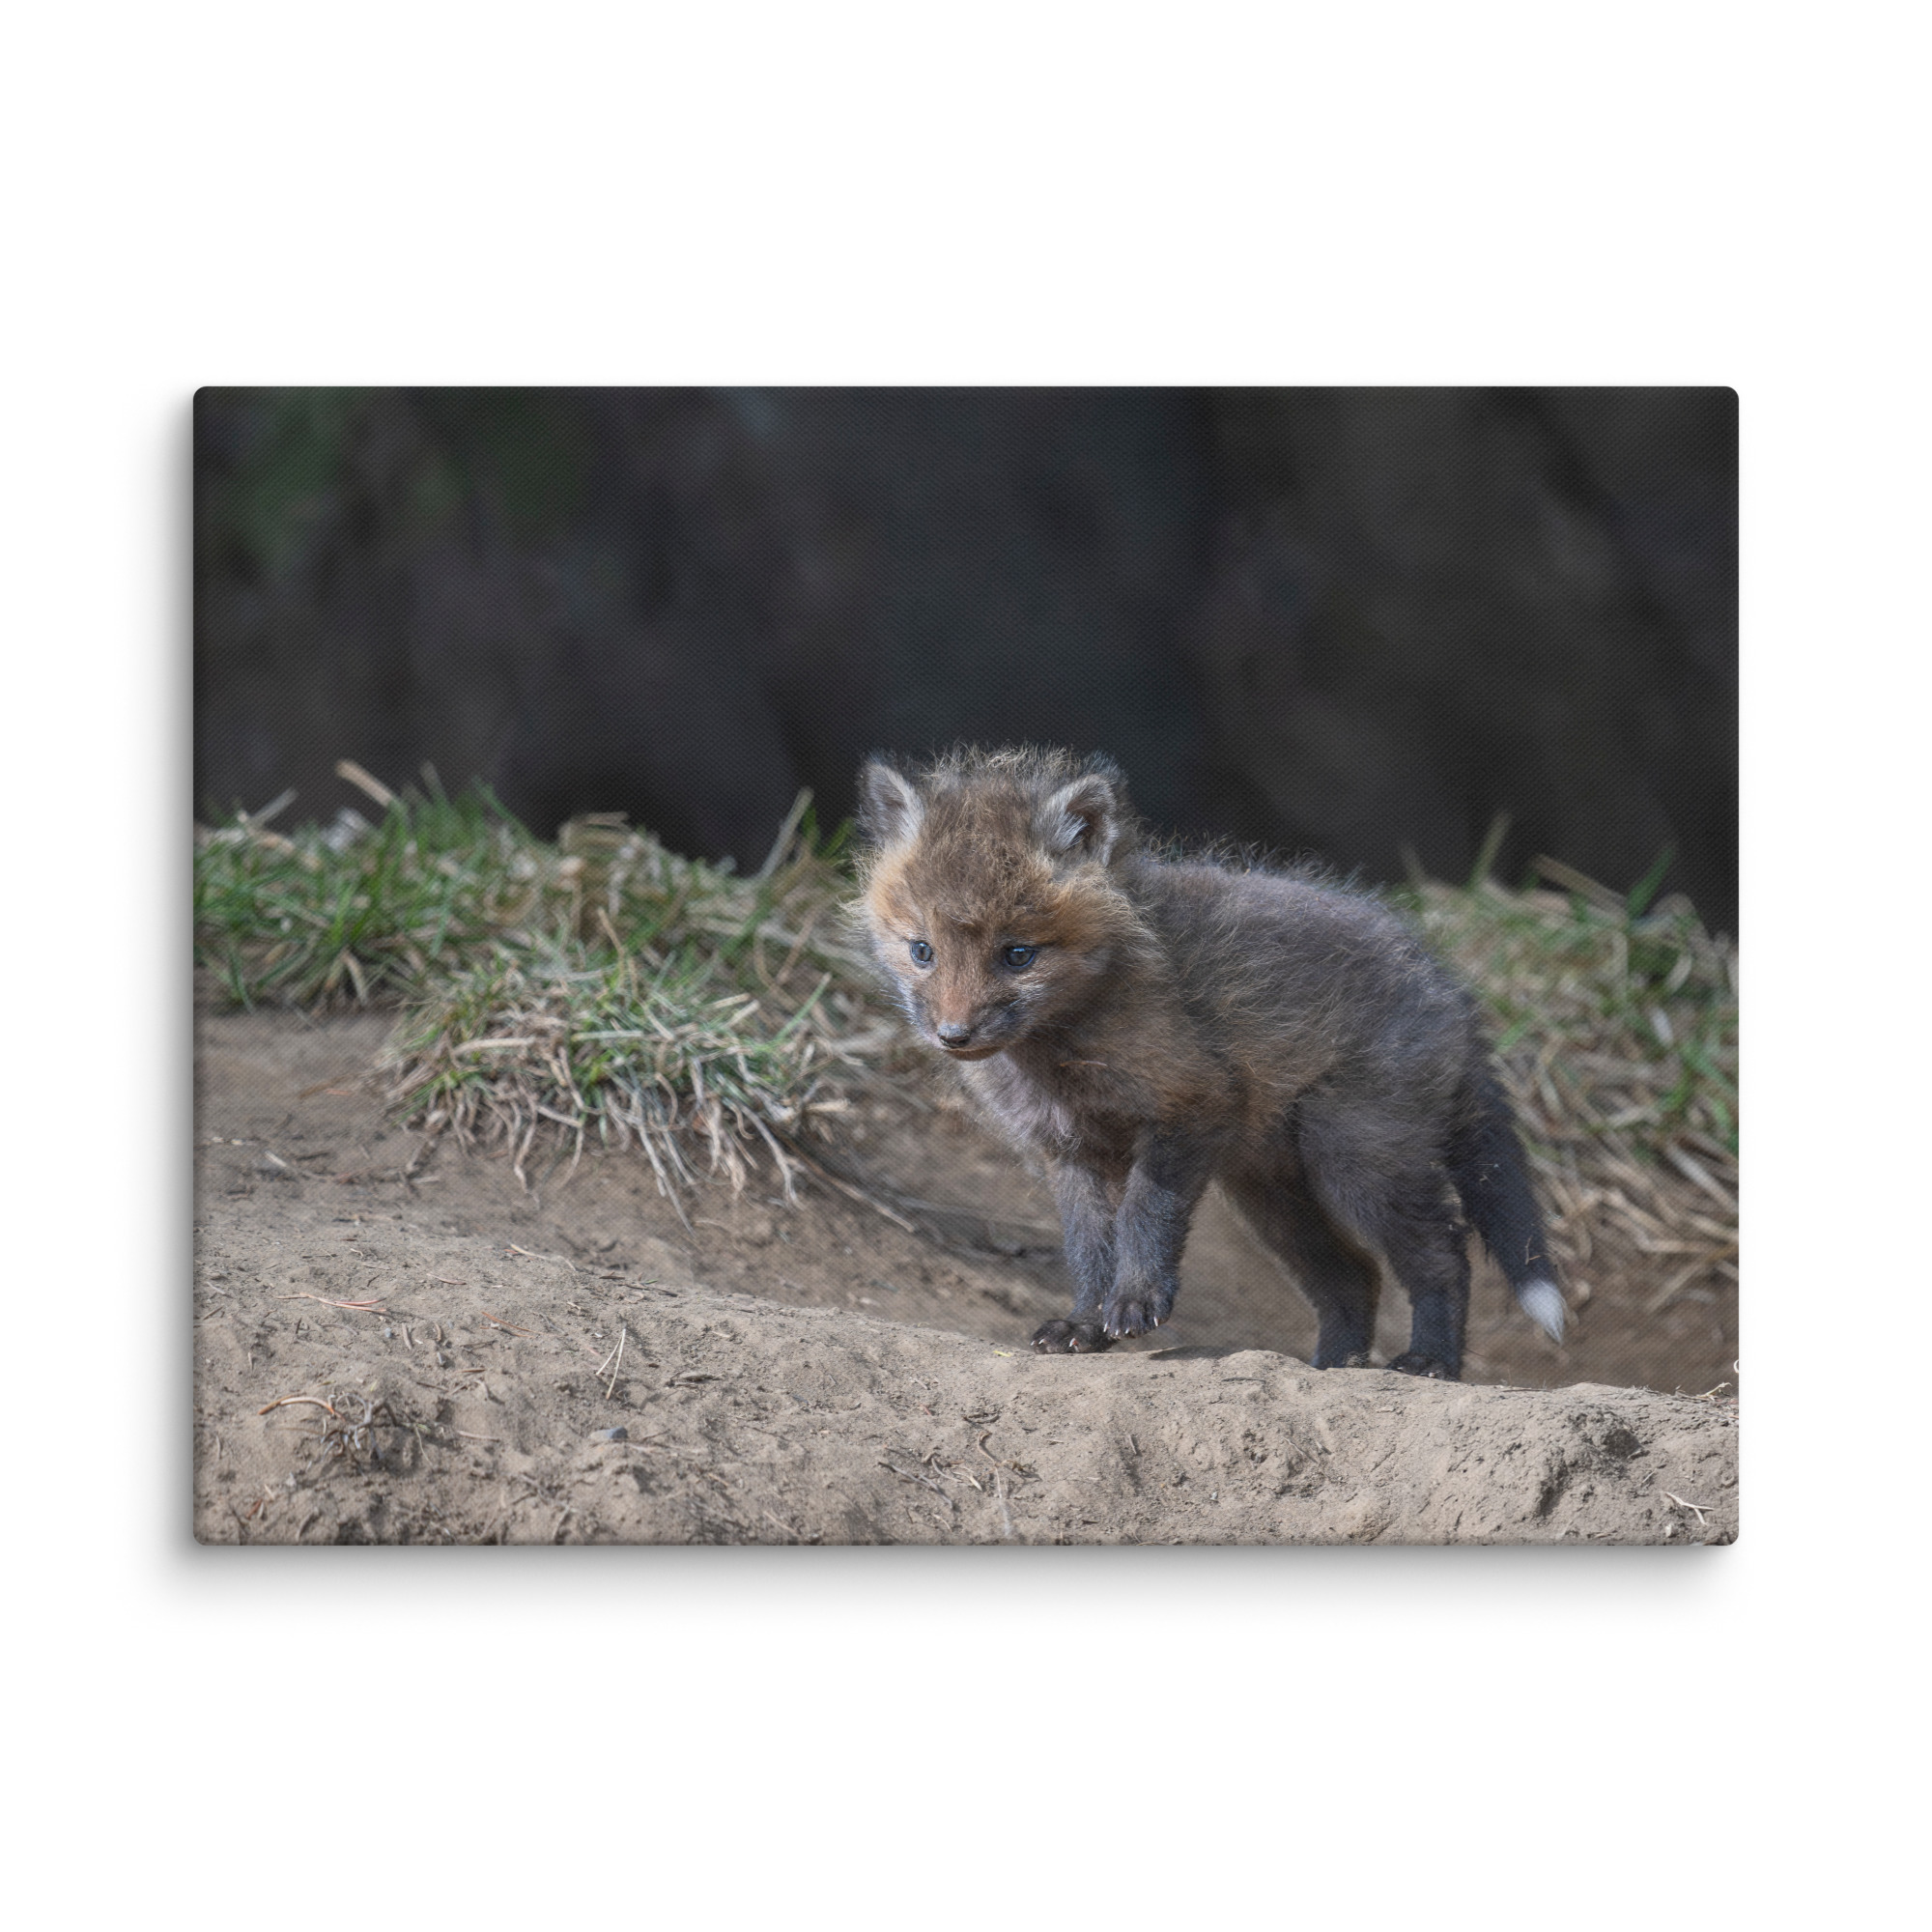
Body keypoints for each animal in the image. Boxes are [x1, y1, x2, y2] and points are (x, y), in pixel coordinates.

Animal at [854, 745, 1566, 1379]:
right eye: (922, 950)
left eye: (1018, 954)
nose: (954, 1035)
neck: (1061, 1055)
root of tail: (1450, 989)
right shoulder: (1069, 1150)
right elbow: (1087, 1249)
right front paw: (1085, 1324)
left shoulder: (1191, 1103)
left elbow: (1145, 1215)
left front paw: (1136, 1301)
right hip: (1273, 1195)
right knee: (1354, 1277)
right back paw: (1333, 1366)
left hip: (1355, 1159)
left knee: (1443, 1254)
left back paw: (1430, 1361)